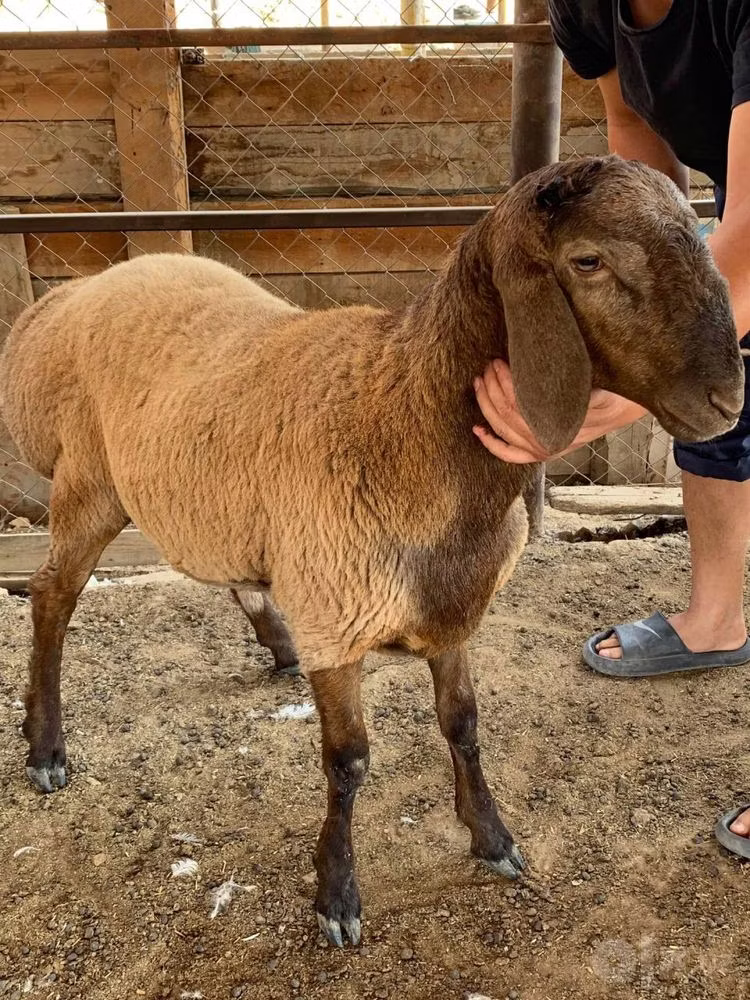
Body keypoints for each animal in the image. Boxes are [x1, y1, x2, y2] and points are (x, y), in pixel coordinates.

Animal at [1, 156, 743, 947]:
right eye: (588, 261)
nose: (728, 401)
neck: (405, 412)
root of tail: (68, 299)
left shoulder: (449, 608)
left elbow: (464, 724)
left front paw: (492, 838)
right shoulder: (337, 614)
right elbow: (349, 761)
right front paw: (337, 893)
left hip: (201, 487)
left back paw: (275, 642)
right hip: (90, 481)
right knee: (51, 594)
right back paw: (46, 751)